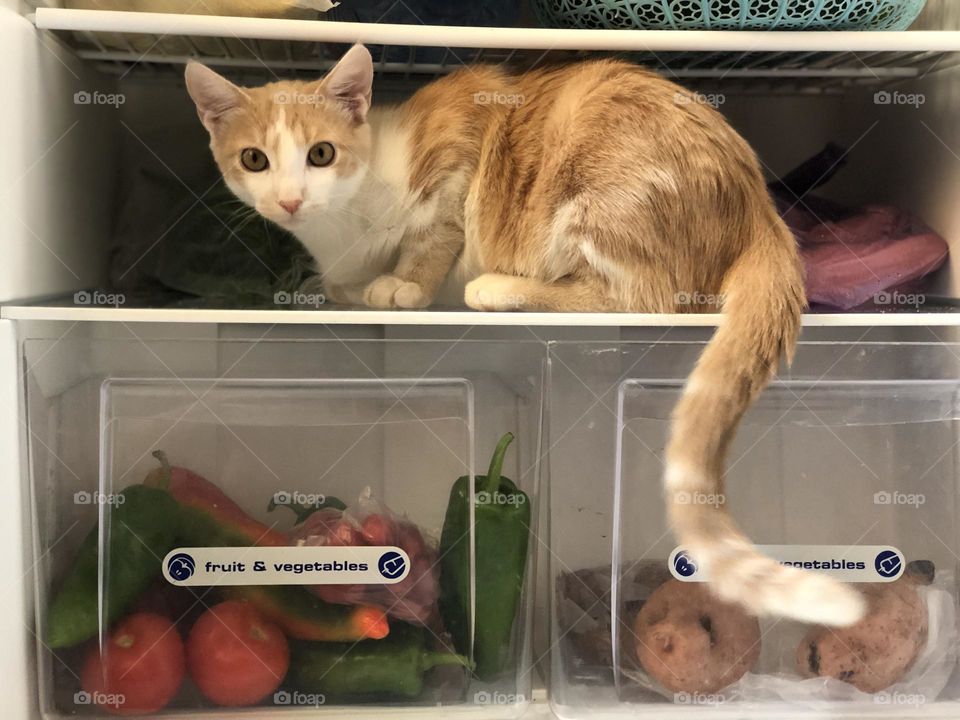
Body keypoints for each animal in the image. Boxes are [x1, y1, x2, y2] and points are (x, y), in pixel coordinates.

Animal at [184, 43, 868, 624]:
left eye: (321, 154)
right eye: (254, 160)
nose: (290, 200)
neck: (343, 233)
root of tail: (759, 201)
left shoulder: (456, 146)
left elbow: (437, 233)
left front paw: (406, 283)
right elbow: (343, 285)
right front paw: (345, 287)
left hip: (599, 193)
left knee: (638, 295)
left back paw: (496, 286)